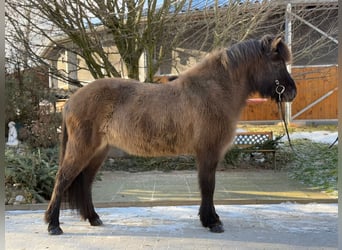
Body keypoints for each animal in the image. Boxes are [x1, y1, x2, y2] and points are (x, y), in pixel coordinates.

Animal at [45, 35, 296, 234]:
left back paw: (93, 218)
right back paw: (53, 225)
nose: (292, 92)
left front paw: (209, 219)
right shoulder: (208, 152)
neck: (213, 91)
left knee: (85, 182)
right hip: (82, 149)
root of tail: (71, 101)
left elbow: (206, 186)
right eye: (277, 61)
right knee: (63, 178)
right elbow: (208, 185)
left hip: (98, 151)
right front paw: (212, 222)